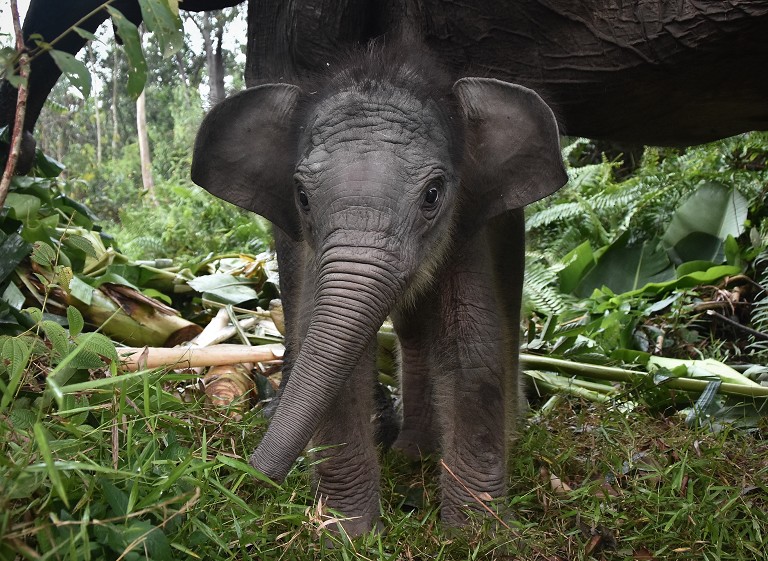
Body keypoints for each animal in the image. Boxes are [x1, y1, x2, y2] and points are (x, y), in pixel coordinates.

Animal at [191, 42, 568, 533]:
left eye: (433, 193)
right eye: (302, 196)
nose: (237, 477)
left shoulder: (467, 232)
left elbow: (471, 350)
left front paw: (475, 535)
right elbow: (329, 355)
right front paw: (347, 534)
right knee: (413, 333)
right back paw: (412, 454)